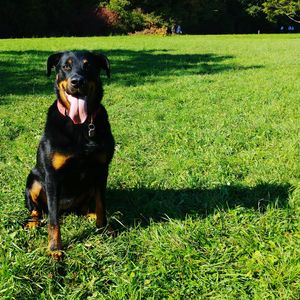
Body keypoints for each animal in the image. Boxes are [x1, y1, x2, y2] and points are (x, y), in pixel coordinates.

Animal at [24, 51, 115, 258]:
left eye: (89, 66)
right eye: (66, 66)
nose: (77, 81)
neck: (80, 126)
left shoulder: (101, 170)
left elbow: (102, 204)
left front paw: (103, 228)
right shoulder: (52, 177)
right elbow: (53, 220)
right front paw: (55, 248)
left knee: (84, 207)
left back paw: (90, 215)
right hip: (33, 181)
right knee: (36, 210)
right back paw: (32, 223)